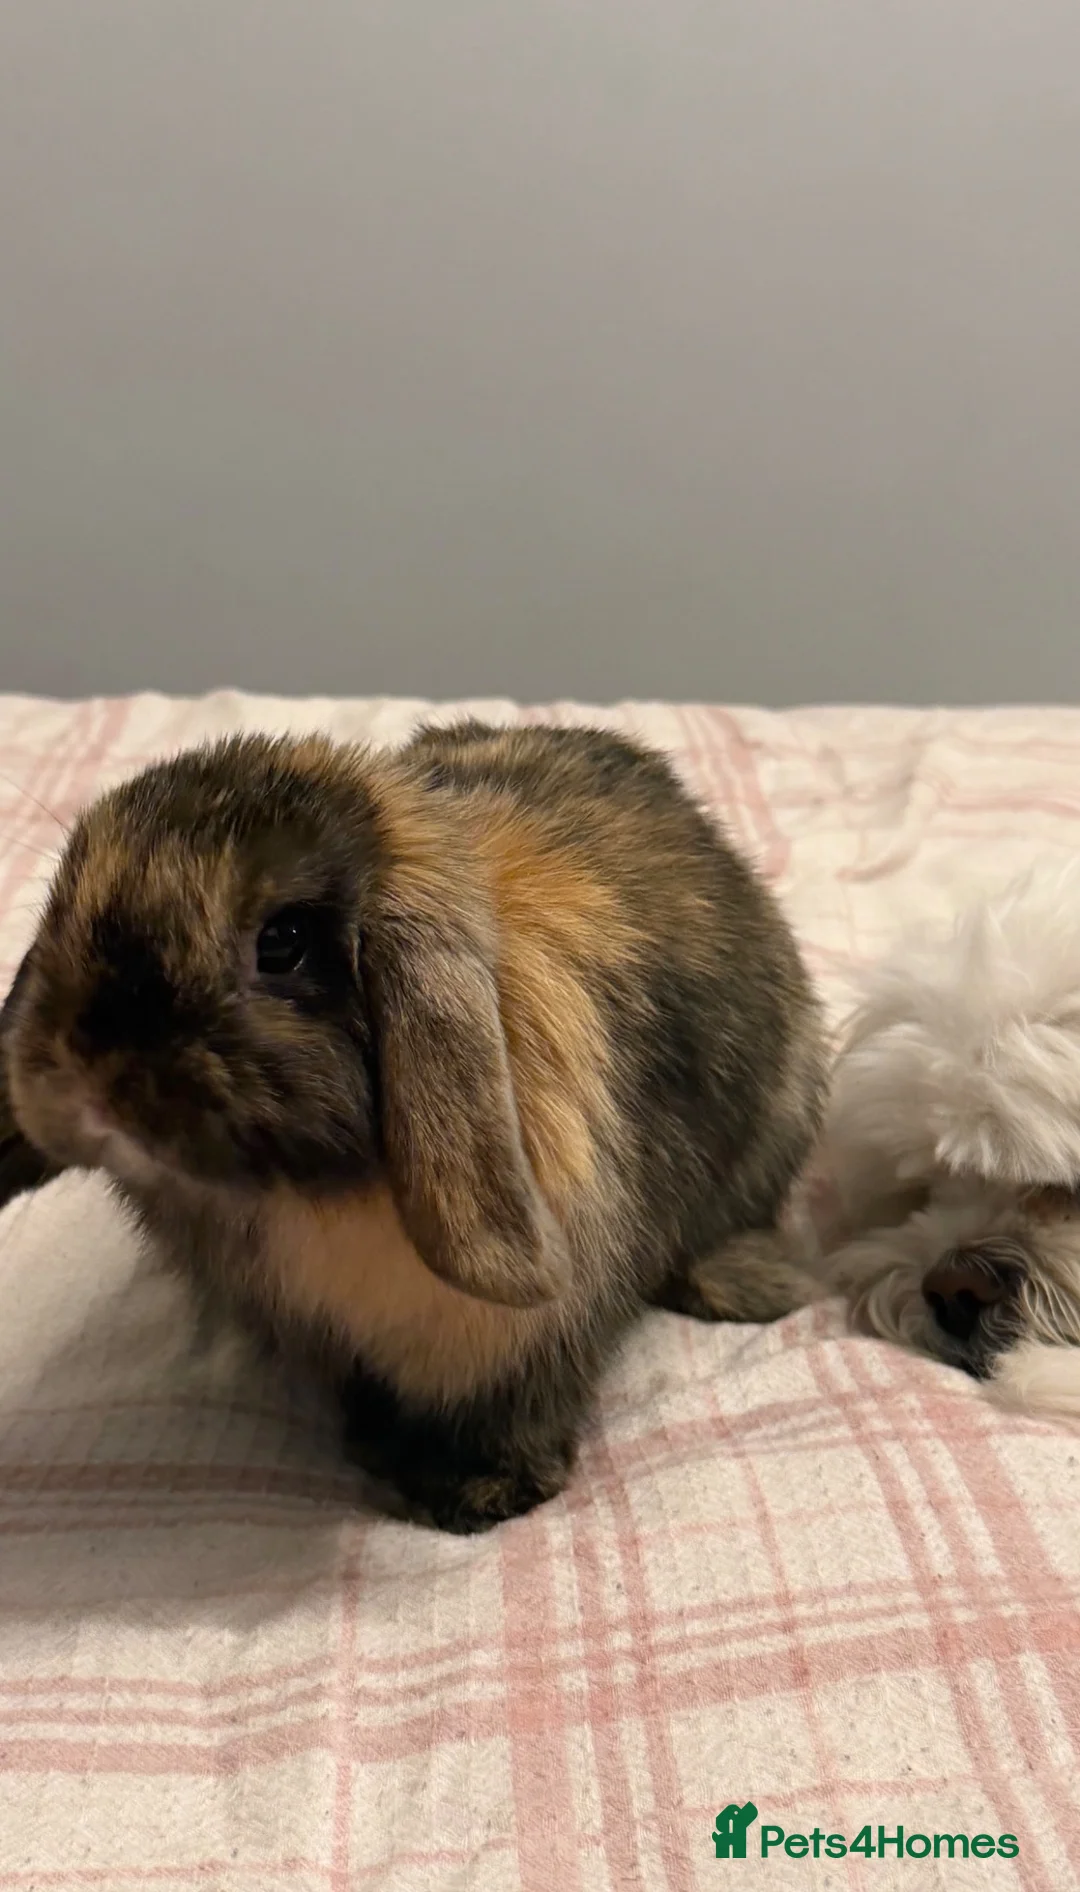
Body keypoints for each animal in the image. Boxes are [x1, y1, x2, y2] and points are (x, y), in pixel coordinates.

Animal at [0, 719, 826, 1532]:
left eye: (284, 941)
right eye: (63, 906)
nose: (84, 1081)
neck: (305, 1200)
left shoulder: (534, 1336)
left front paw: (471, 1494)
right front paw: (376, 1446)